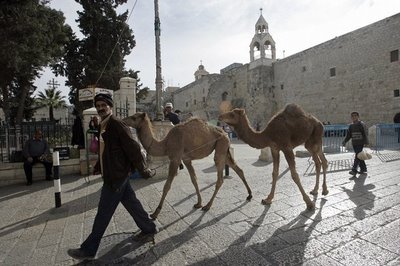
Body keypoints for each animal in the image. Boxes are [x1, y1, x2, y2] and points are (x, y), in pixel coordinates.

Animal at [123, 112, 252, 218]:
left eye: (134, 117)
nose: (124, 120)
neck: (165, 144)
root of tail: (225, 133)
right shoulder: (186, 159)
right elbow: (194, 179)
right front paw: (198, 203)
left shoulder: (175, 159)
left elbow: (167, 185)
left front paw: (155, 213)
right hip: (224, 149)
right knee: (238, 169)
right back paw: (249, 195)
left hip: (221, 146)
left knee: (220, 178)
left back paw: (208, 206)